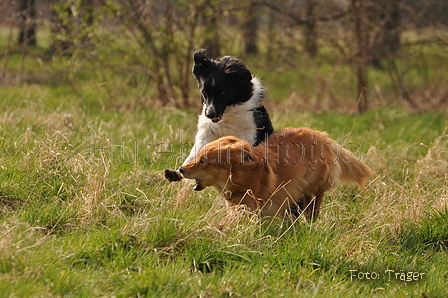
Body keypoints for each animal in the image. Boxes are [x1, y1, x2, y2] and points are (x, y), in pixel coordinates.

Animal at [164, 49, 272, 182]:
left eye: (222, 92)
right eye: (204, 92)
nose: (210, 114)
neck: (227, 114)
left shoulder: (249, 133)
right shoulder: (207, 133)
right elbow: (195, 153)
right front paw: (176, 173)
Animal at [179, 127, 374, 220]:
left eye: (204, 161)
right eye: (199, 157)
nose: (180, 169)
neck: (243, 176)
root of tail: (321, 135)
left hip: (314, 186)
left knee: (315, 199)